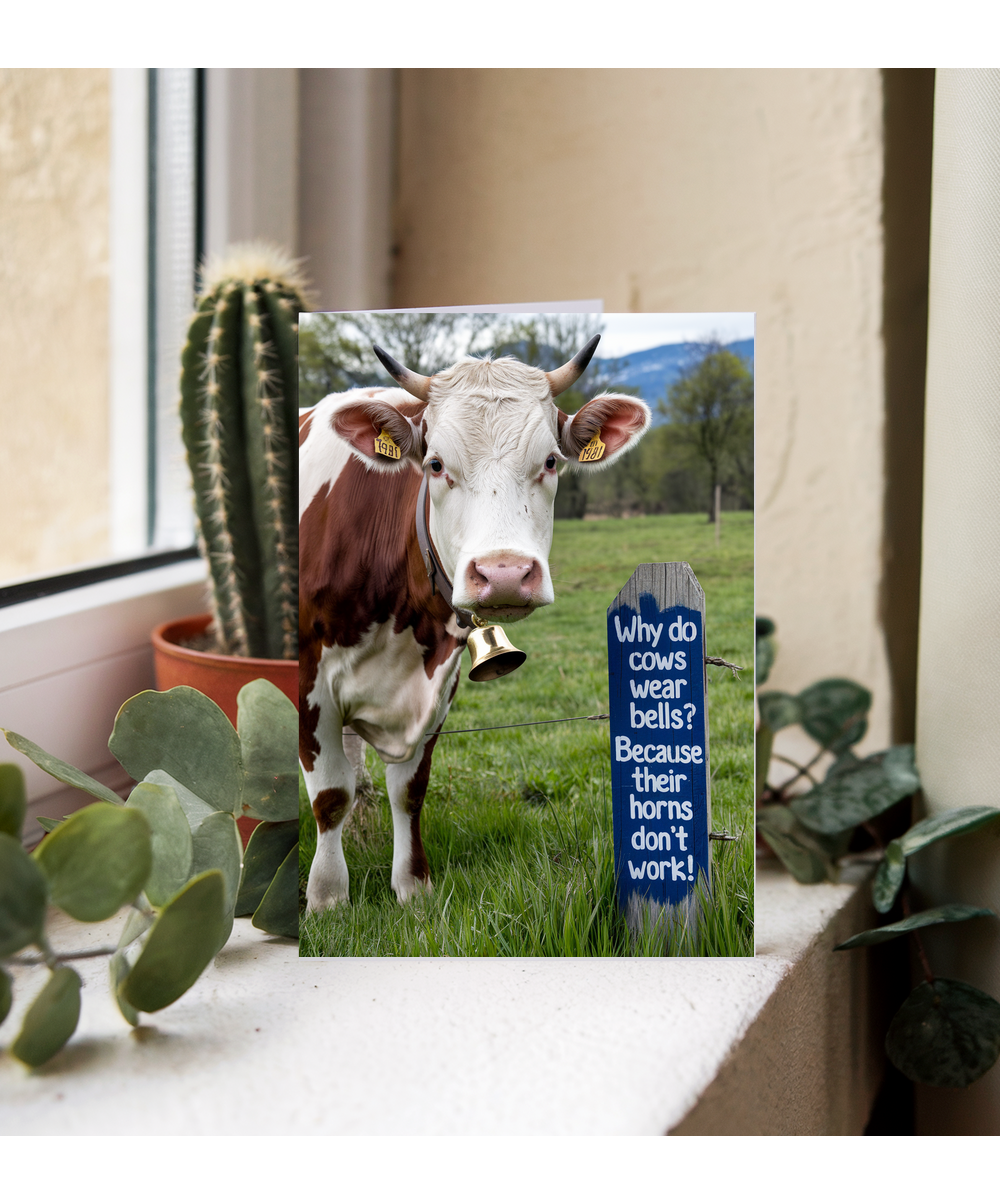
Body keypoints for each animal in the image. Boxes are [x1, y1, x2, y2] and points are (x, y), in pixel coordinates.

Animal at [299, 336, 650, 912]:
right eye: (436, 464)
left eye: (550, 461)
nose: (504, 574)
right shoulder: (311, 680)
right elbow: (329, 795)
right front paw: (327, 899)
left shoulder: (439, 683)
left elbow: (409, 790)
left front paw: (412, 887)